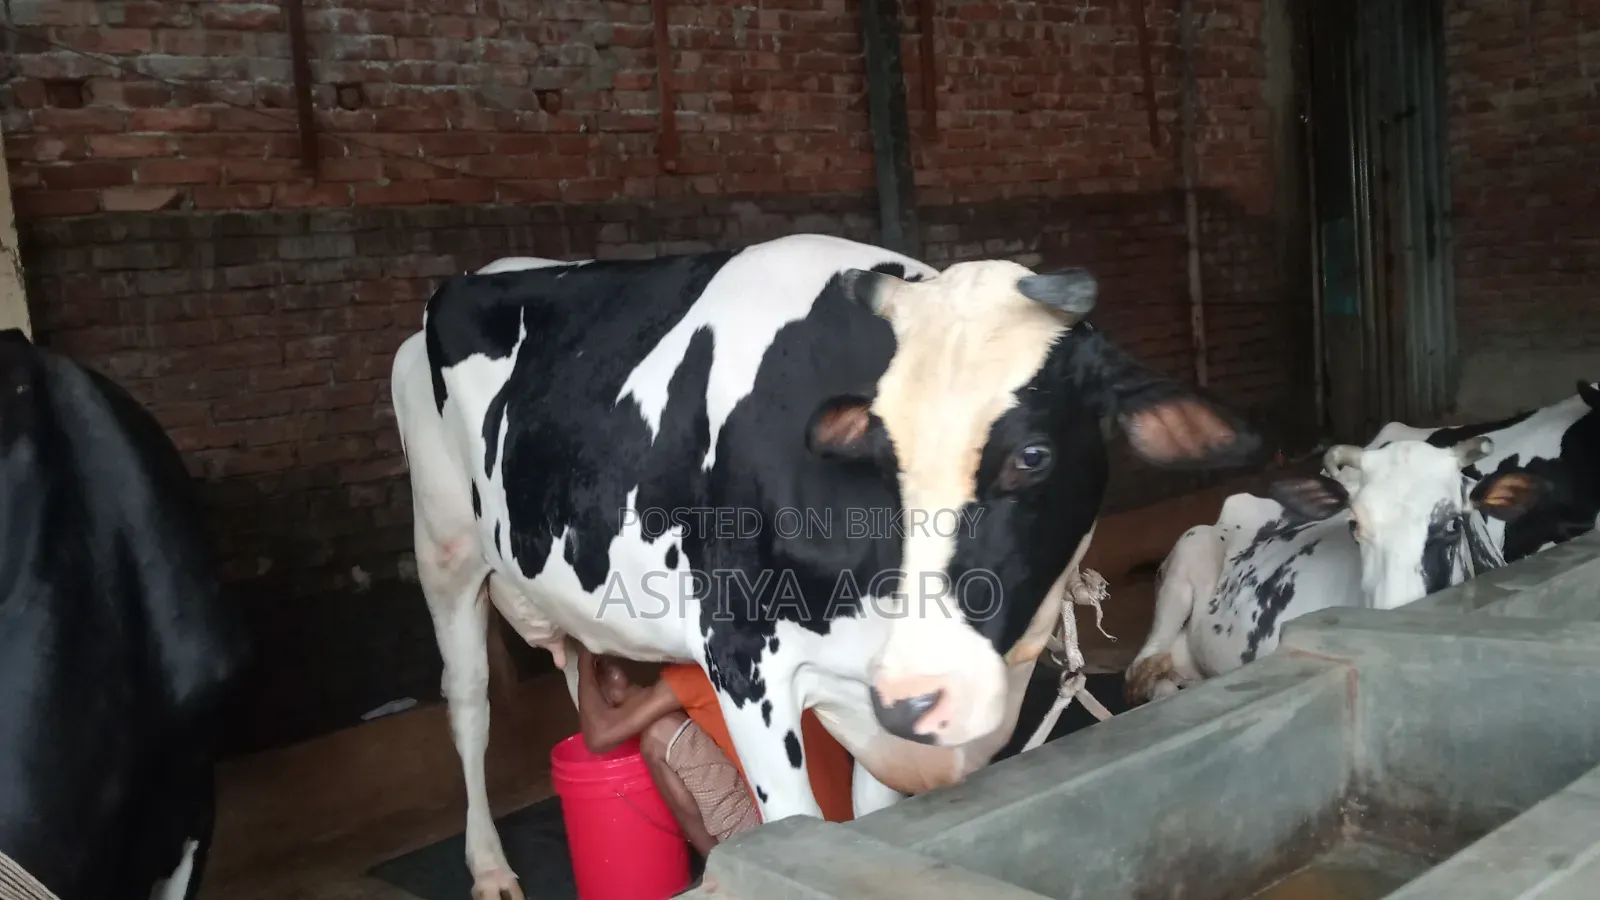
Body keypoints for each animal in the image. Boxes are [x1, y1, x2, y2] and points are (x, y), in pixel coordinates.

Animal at [391, 234, 1261, 900]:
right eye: (882, 457)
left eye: (1034, 456)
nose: (923, 694)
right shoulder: (741, 658)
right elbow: (796, 826)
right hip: (445, 547)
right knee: (468, 704)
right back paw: (490, 868)